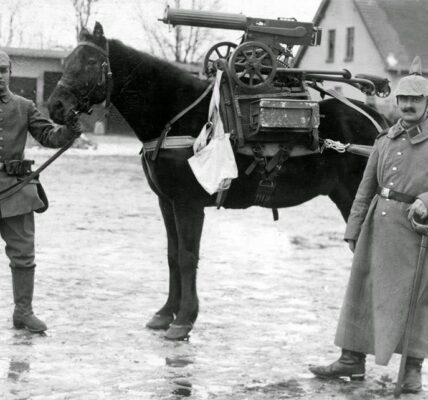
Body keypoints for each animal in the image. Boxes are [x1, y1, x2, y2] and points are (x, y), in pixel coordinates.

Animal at [48, 22, 390, 340]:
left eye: (92, 61)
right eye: (67, 60)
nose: (56, 106)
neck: (175, 116)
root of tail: (380, 123)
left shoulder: (188, 204)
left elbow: (187, 257)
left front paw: (184, 320)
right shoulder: (166, 202)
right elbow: (172, 255)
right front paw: (165, 313)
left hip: (353, 200)